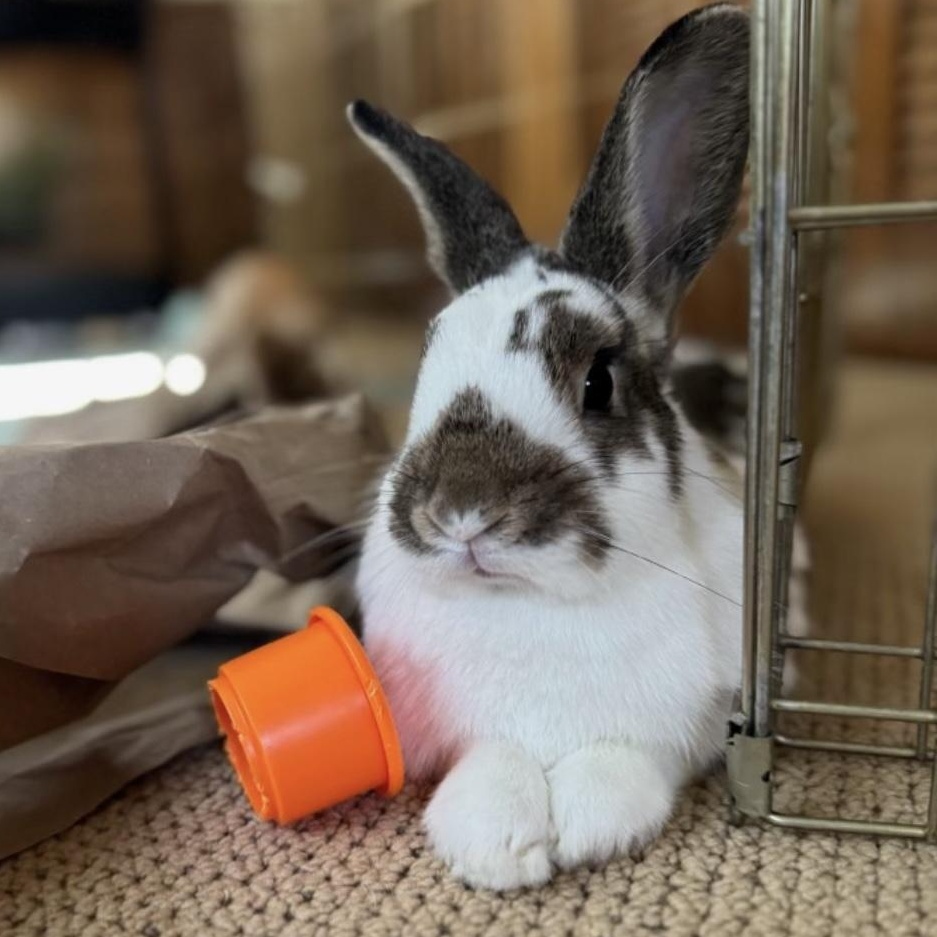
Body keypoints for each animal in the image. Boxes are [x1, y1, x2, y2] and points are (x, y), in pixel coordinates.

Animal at [349, 5, 764, 890]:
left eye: (598, 381)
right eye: (428, 356)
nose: (461, 512)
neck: (532, 605)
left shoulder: (685, 724)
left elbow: (621, 760)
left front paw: (585, 823)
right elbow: (492, 761)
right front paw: (495, 840)